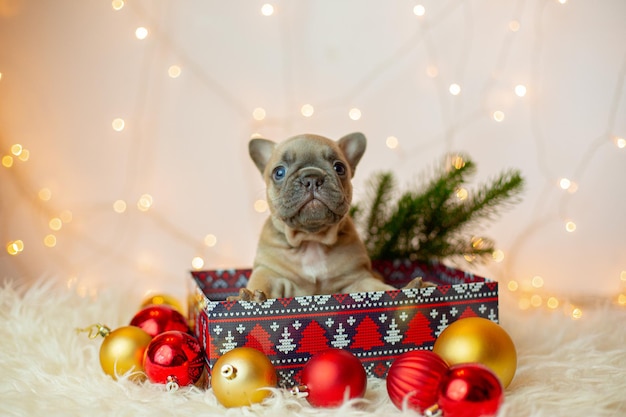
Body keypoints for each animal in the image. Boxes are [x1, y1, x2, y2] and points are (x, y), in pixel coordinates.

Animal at [232, 132, 422, 300]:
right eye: (279, 172)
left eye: (339, 168)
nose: (311, 178)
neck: (312, 240)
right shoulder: (268, 272)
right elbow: (261, 284)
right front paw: (248, 298)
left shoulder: (357, 278)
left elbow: (378, 288)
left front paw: (410, 289)